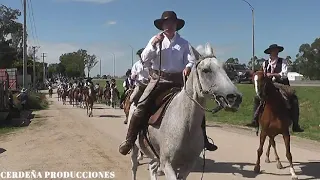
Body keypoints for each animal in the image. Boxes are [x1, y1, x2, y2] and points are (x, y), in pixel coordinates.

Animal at [125, 43, 242, 180]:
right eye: (206, 70)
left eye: (225, 69)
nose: (235, 98)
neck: (185, 124)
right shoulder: (167, 164)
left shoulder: (187, 166)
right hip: (136, 147)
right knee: (134, 166)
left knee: (152, 167)